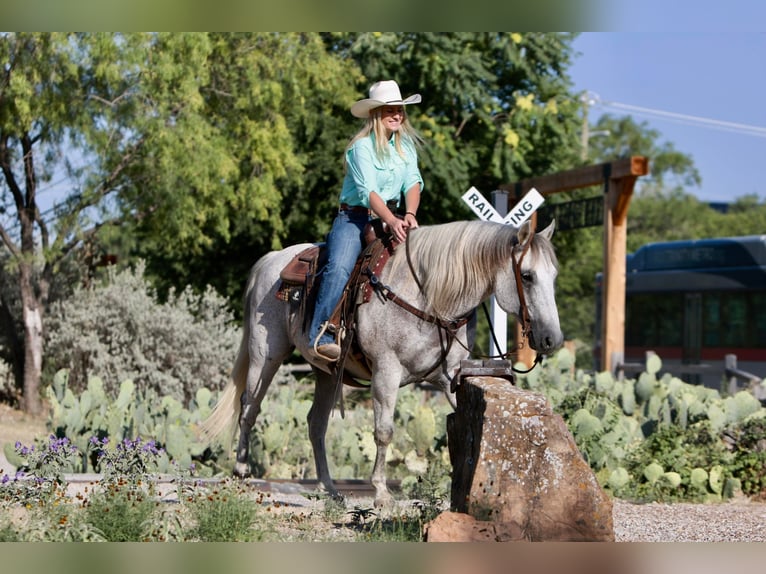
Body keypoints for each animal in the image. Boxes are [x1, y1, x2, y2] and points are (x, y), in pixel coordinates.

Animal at [201, 218, 564, 506]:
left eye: (554, 275)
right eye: (527, 276)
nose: (552, 339)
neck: (427, 297)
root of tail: (270, 260)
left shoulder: (450, 378)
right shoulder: (386, 371)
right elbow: (384, 431)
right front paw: (381, 493)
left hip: (325, 373)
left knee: (316, 424)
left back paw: (330, 489)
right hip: (266, 354)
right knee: (249, 408)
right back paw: (241, 472)